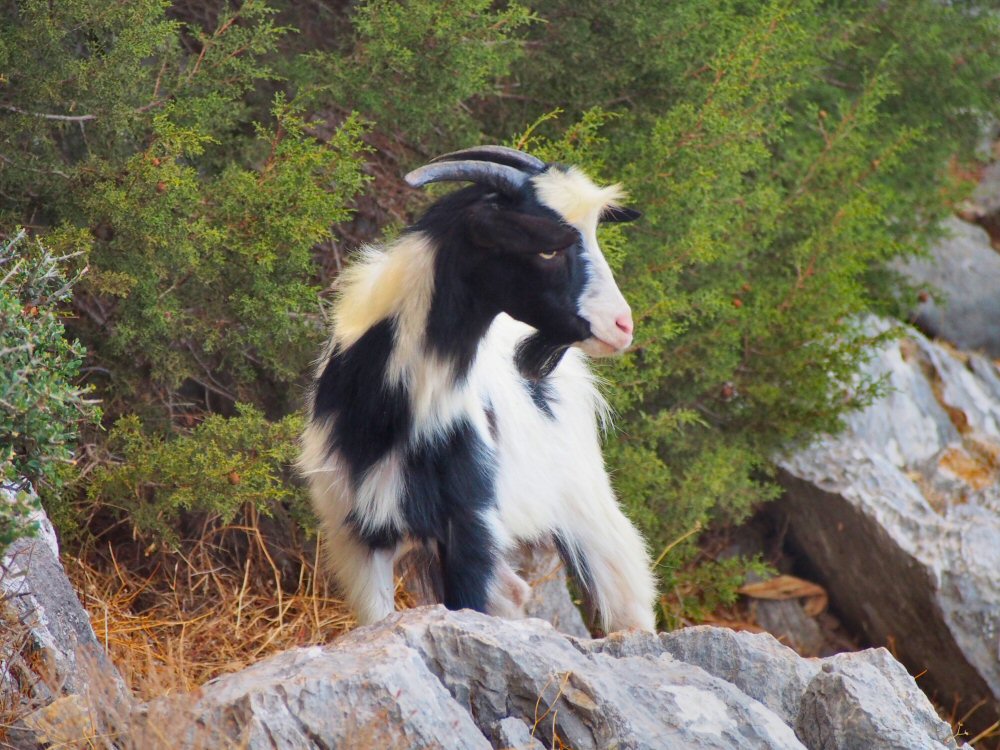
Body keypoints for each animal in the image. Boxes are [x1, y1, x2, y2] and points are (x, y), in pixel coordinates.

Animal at [296, 147, 656, 636]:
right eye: (547, 248)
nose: (621, 326)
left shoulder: (471, 522)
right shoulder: (356, 532)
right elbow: (381, 615)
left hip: (583, 493)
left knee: (626, 590)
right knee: (514, 591)